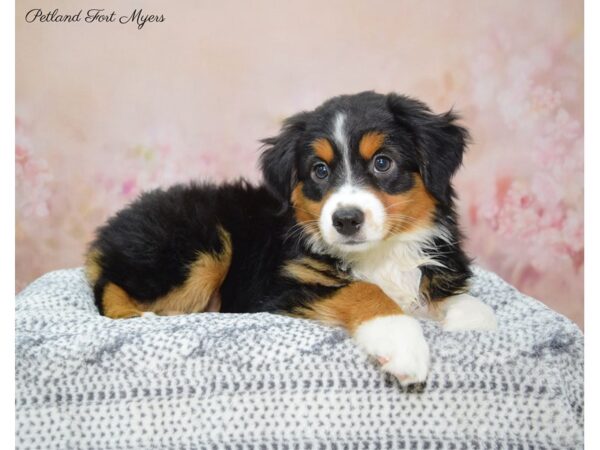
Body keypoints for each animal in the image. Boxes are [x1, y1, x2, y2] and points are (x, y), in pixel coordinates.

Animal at [84, 90, 496, 384]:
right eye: (319, 170)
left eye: (383, 162)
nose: (346, 220)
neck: (380, 254)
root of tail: (115, 225)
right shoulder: (281, 288)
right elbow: (362, 289)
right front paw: (400, 341)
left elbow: (454, 296)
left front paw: (473, 317)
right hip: (198, 246)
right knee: (108, 286)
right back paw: (137, 314)